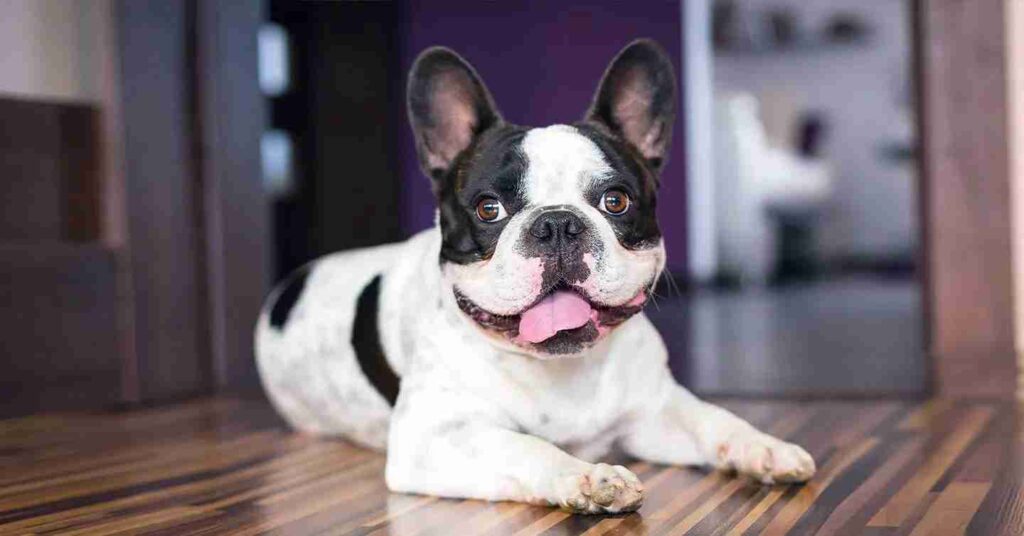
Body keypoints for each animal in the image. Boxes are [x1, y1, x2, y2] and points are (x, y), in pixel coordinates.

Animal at [256, 38, 815, 516]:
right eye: (489, 208)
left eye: (616, 201)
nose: (558, 223)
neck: (562, 368)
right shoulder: (435, 437)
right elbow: (524, 447)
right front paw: (587, 477)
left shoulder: (656, 411)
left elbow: (714, 419)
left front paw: (764, 447)